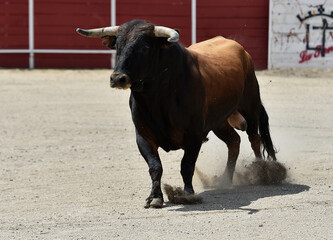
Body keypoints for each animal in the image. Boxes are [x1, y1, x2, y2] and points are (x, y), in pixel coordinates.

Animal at [76, 19, 276, 208]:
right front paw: (155, 197)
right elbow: (155, 166)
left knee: (254, 138)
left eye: (144, 47)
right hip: (220, 121)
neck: (157, 98)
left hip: (250, 106)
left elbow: (186, 165)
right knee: (234, 141)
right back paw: (225, 179)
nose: (118, 78)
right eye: (117, 45)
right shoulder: (143, 136)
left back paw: (262, 172)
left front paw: (187, 194)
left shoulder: (194, 134)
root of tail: (242, 51)